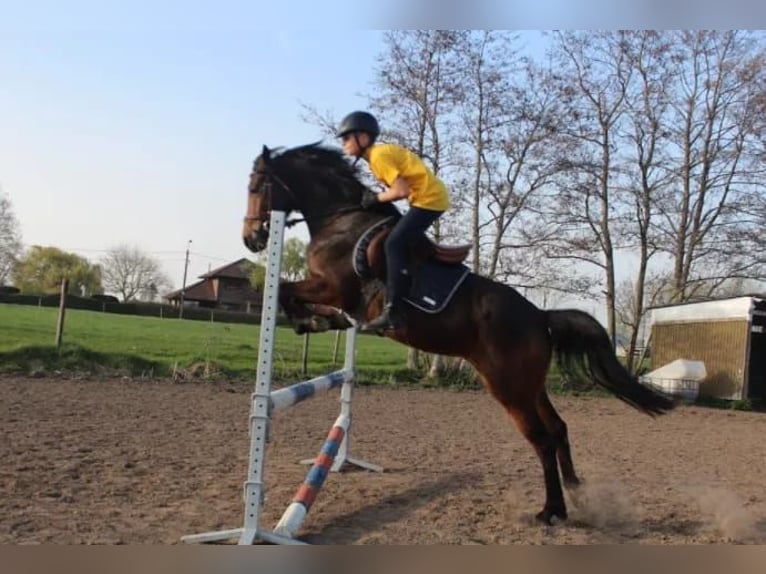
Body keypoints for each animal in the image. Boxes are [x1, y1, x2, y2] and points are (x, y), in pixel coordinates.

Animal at [241, 142, 675, 525]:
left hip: (507, 387)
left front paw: (308, 321)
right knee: (558, 428)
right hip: (530, 386)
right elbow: (301, 300)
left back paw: (552, 511)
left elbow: (282, 289)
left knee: (542, 438)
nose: (252, 239)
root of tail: (539, 315)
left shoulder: (332, 287)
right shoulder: (334, 295)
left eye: (256, 186)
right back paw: (576, 493)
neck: (340, 220)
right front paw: (320, 322)